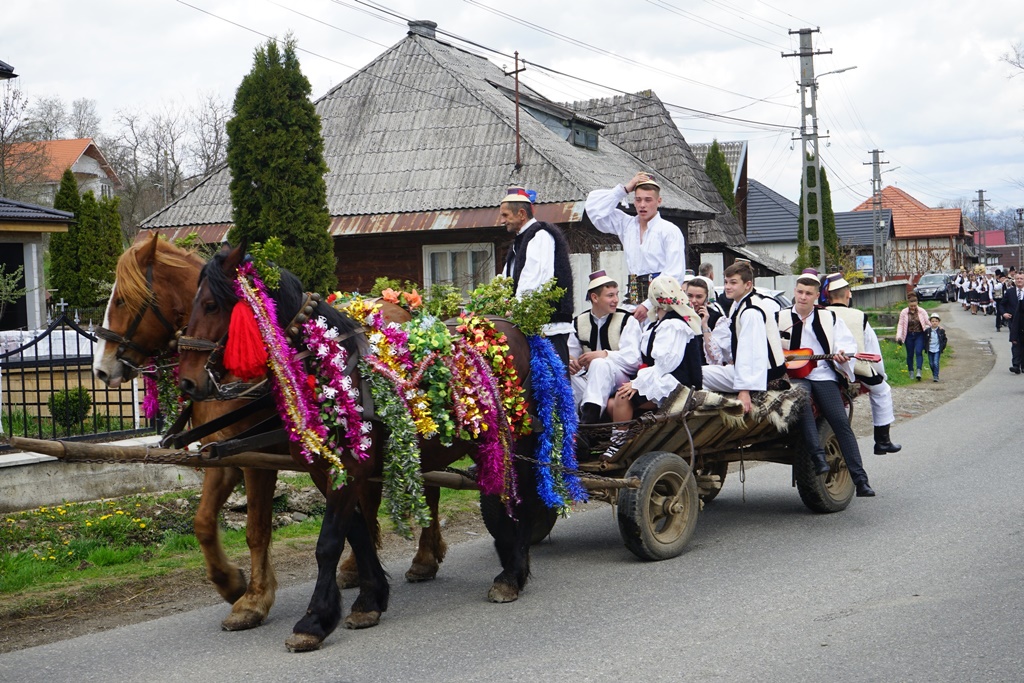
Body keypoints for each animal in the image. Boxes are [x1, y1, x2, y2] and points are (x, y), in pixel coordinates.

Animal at [176, 244, 544, 651]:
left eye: (210, 305)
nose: (188, 383)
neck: (328, 366)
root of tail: (512, 328)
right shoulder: (324, 471)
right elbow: (357, 532)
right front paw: (370, 600)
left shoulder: (349, 470)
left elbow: (329, 542)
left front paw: (313, 621)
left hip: (512, 438)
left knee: (515, 495)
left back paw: (511, 573)